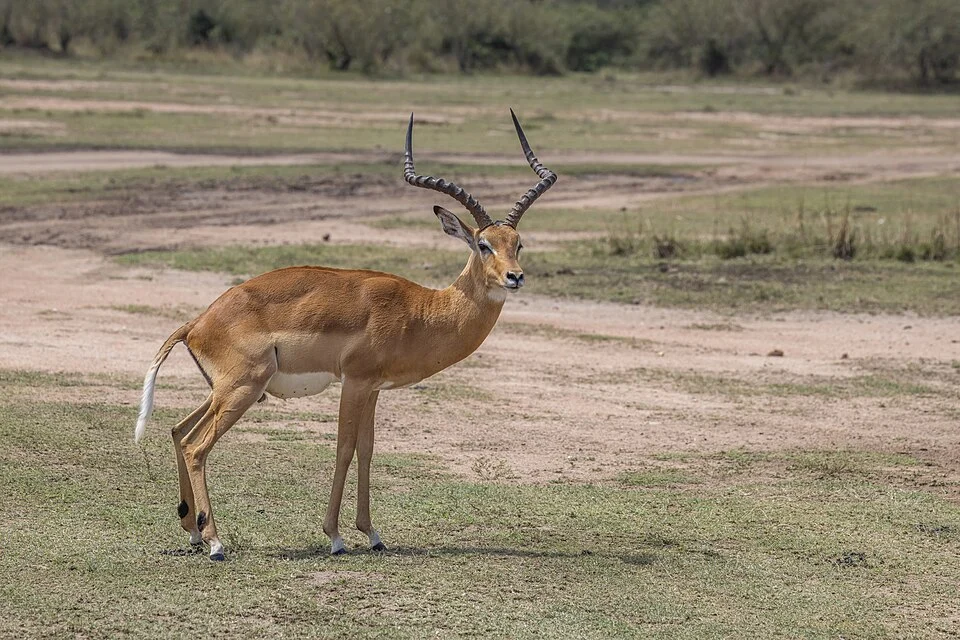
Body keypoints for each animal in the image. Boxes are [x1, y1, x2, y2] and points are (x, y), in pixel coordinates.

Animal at [134, 110, 557, 560]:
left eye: (518, 243)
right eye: (482, 244)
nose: (515, 277)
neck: (420, 311)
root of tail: (198, 322)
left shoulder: (372, 388)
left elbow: (367, 451)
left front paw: (372, 534)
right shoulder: (353, 383)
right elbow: (343, 449)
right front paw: (335, 536)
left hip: (227, 391)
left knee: (178, 431)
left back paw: (194, 531)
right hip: (242, 389)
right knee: (196, 446)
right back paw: (215, 541)